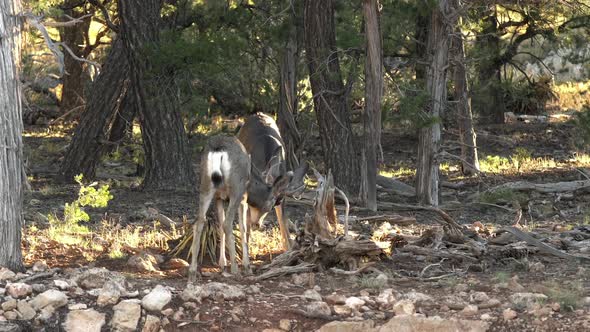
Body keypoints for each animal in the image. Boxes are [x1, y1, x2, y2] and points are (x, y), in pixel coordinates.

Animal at [237, 113, 310, 250]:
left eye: (269, 207)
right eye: (253, 202)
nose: (257, 224)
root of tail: (258, 113)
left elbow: (283, 219)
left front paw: (288, 247)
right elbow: (246, 224)